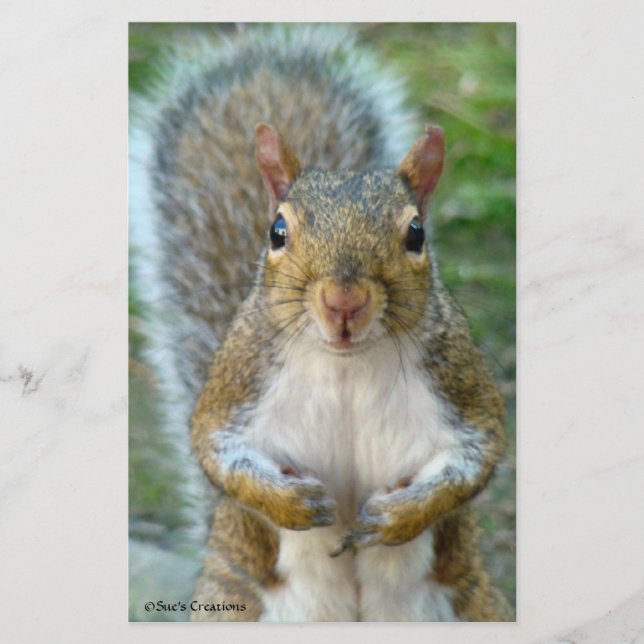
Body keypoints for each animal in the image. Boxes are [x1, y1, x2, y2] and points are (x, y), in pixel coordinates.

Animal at [130, 25, 513, 622]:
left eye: (417, 234)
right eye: (277, 231)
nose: (343, 301)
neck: (346, 366)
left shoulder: (460, 385)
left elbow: (479, 457)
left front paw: (397, 515)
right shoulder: (238, 383)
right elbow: (214, 450)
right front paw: (292, 503)